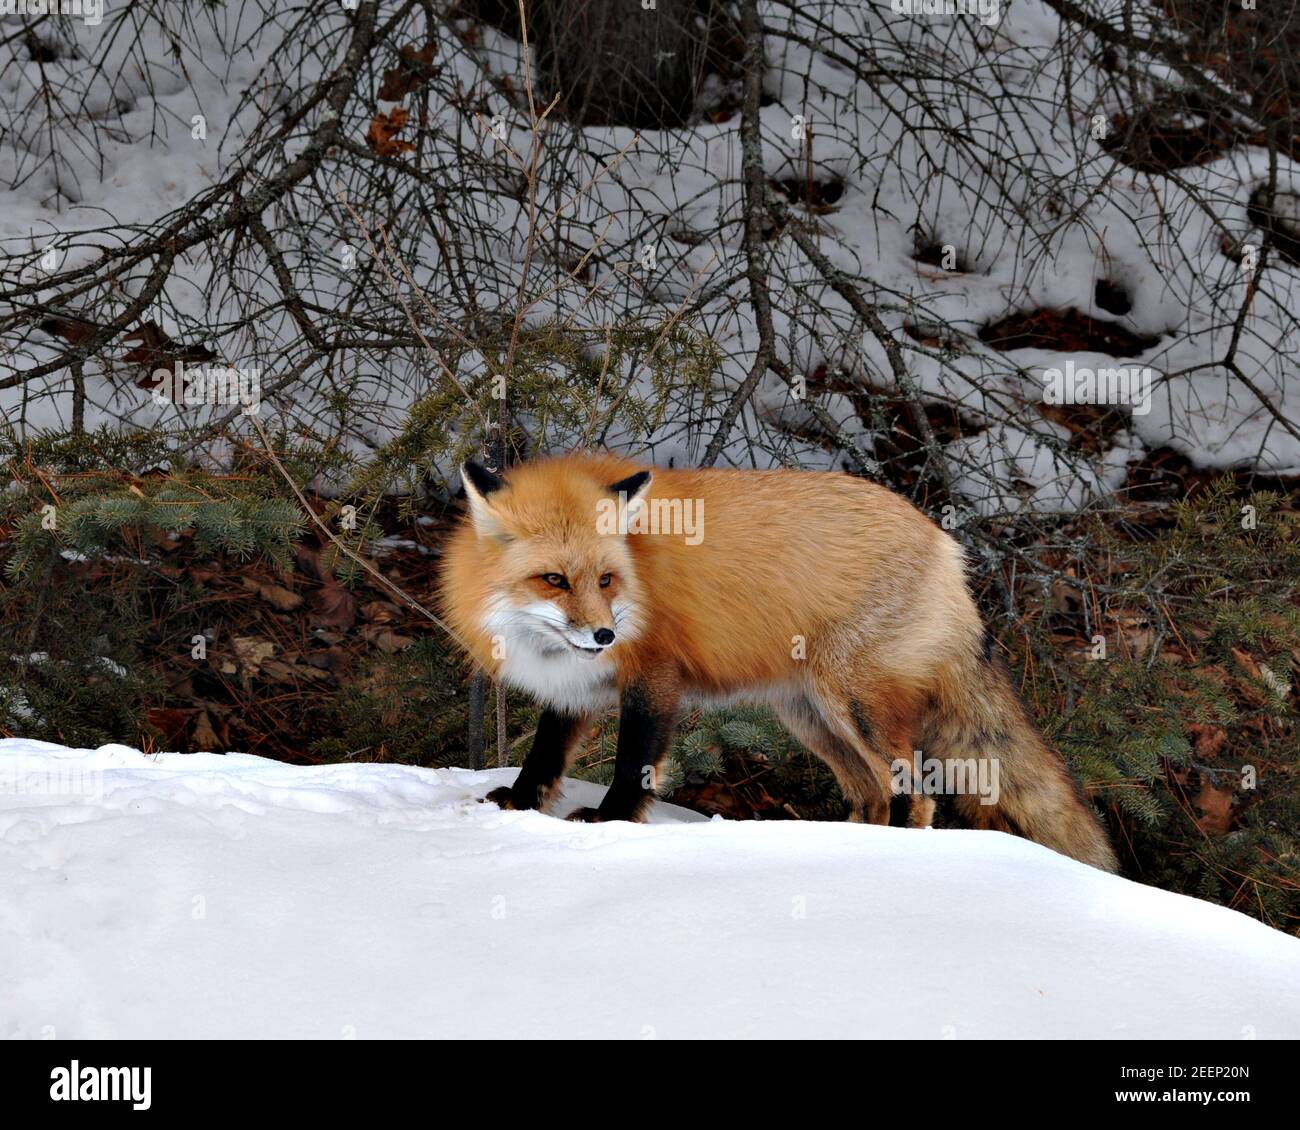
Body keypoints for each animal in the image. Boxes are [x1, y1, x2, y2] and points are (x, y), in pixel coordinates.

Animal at [441, 452, 1123, 873]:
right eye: (554, 580)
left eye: (606, 579)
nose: (606, 634)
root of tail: (944, 544)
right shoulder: (572, 685)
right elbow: (544, 755)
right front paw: (517, 805)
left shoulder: (654, 679)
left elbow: (634, 764)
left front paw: (609, 823)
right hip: (811, 716)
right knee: (873, 793)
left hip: (853, 703)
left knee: (914, 790)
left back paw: (891, 855)